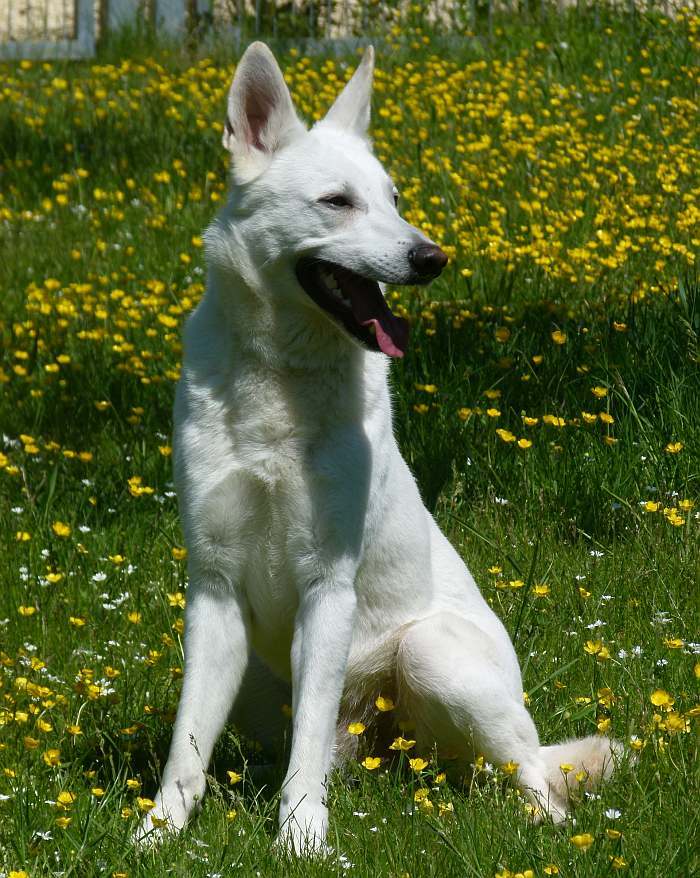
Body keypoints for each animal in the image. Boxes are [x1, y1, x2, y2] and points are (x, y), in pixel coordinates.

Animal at [141, 43, 616, 860]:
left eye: (394, 199)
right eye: (337, 202)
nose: (433, 257)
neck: (281, 380)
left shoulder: (327, 585)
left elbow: (302, 755)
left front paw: (300, 837)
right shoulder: (214, 590)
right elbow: (187, 743)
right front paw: (159, 832)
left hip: (432, 655)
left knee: (535, 775)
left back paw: (540, 829)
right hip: (259, 676)